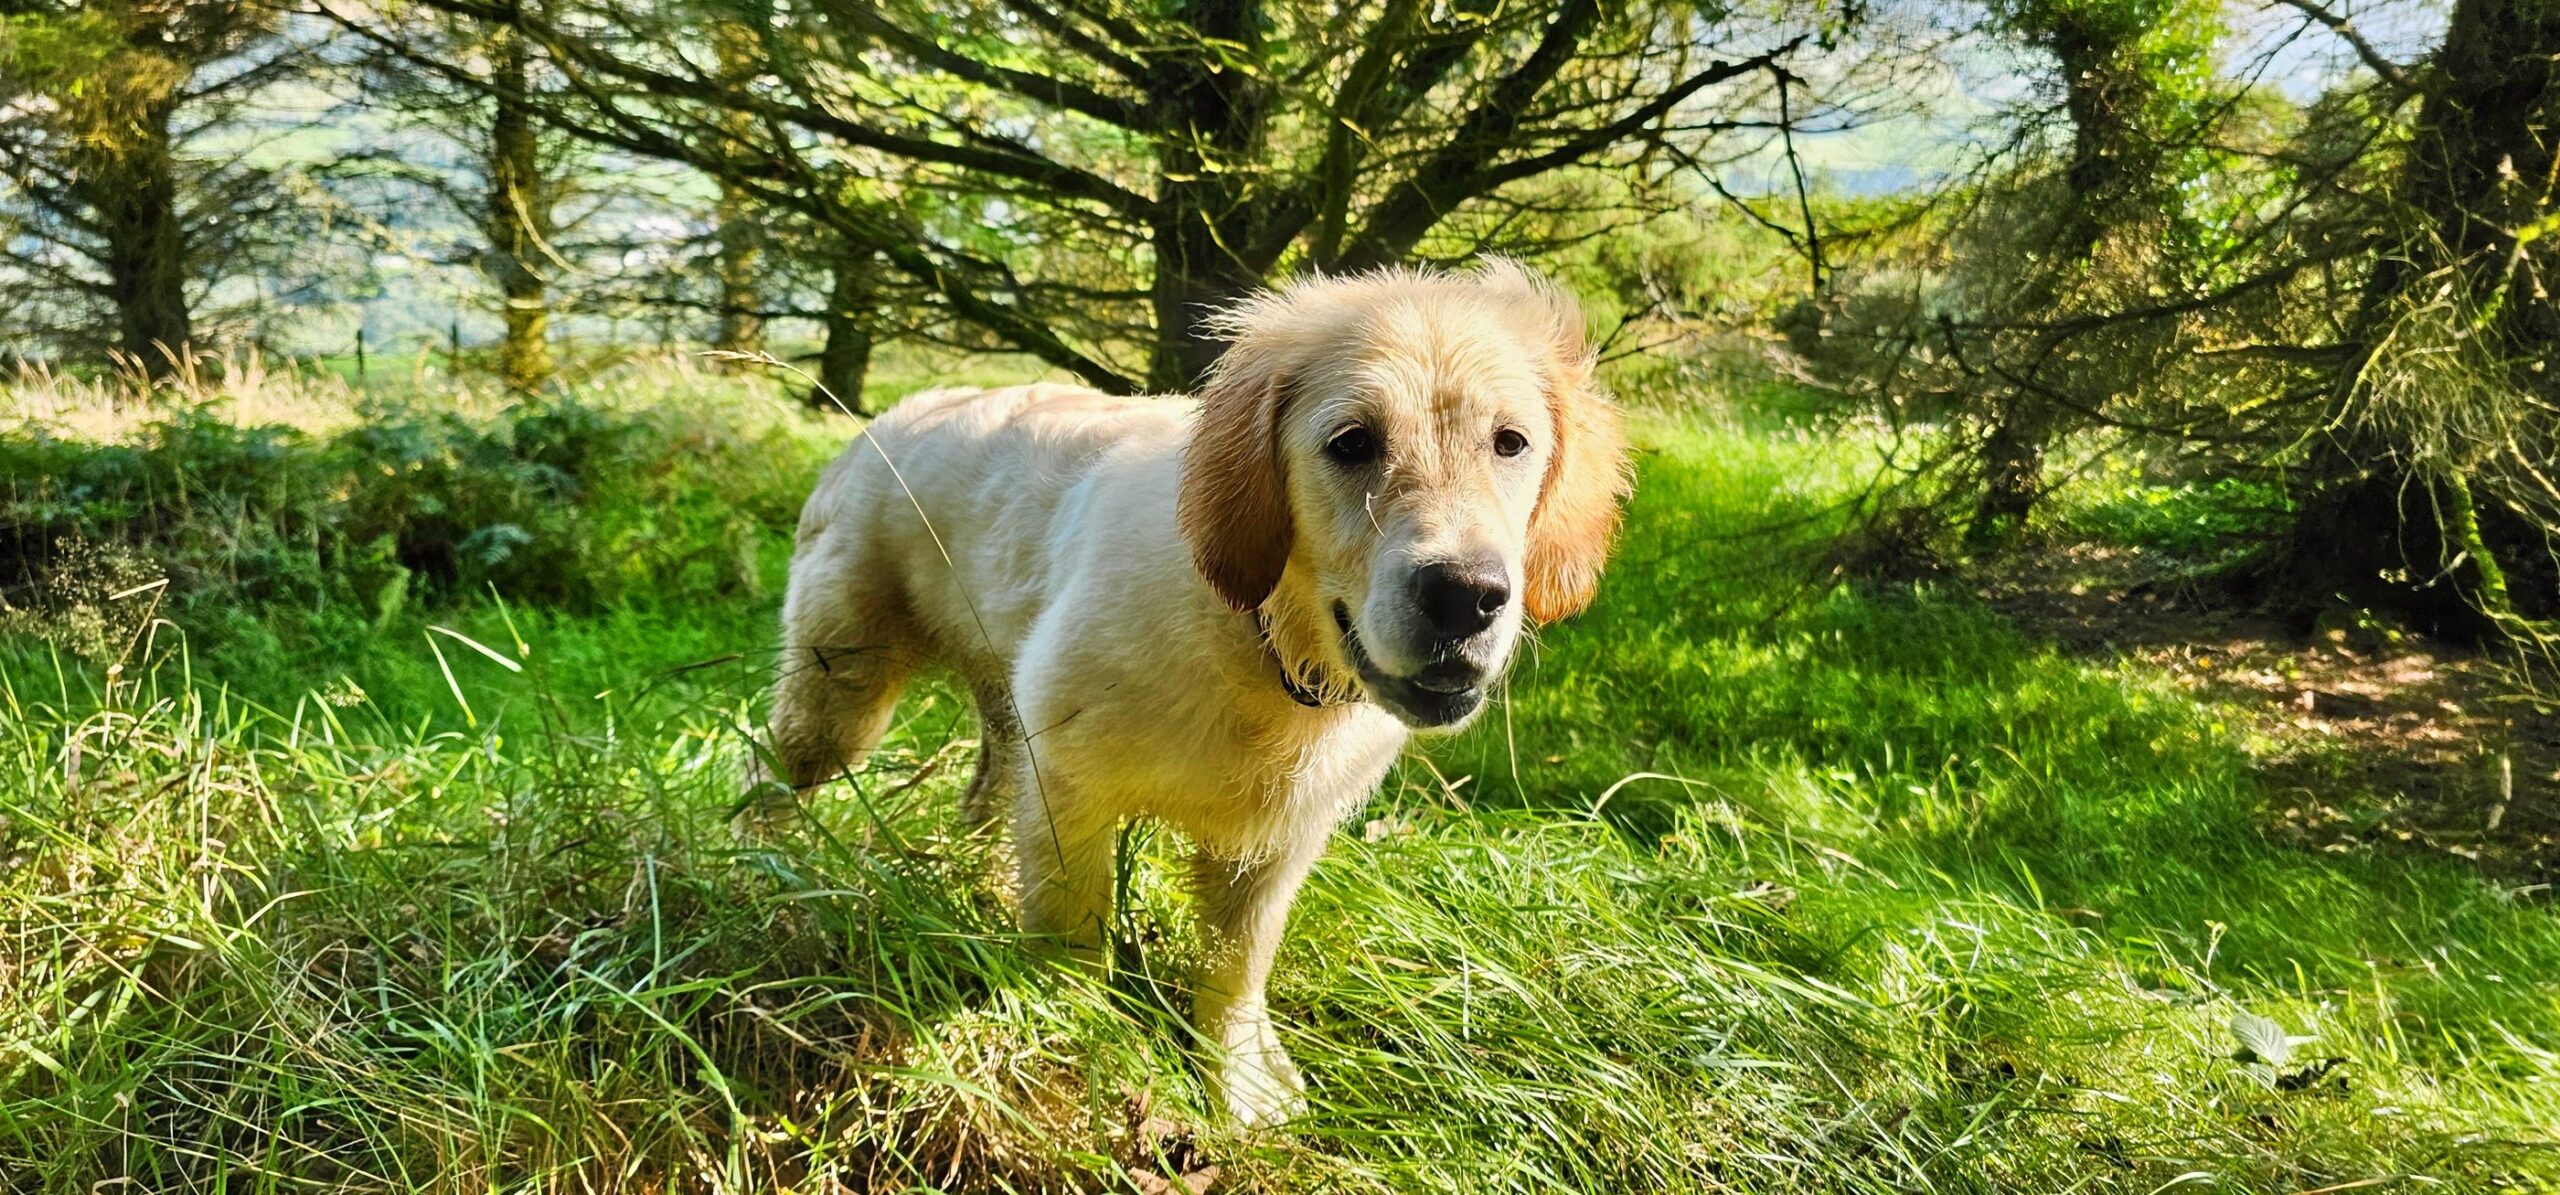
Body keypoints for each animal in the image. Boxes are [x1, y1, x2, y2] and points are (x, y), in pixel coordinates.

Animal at [757, 257, 1628, 1125]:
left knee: (983, 791)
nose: (1467, 595)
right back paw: (769, 868)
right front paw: (1080, 1040)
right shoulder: (1069, 779)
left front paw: (1237, 1080)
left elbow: (1237, 961)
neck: (1262, 645)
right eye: (1352, 443)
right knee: (778, 773)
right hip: (842, 681)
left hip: (996, 699)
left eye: (1510, 442)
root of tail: (877, 425)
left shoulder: (1282, 835)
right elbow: (1075, 931)